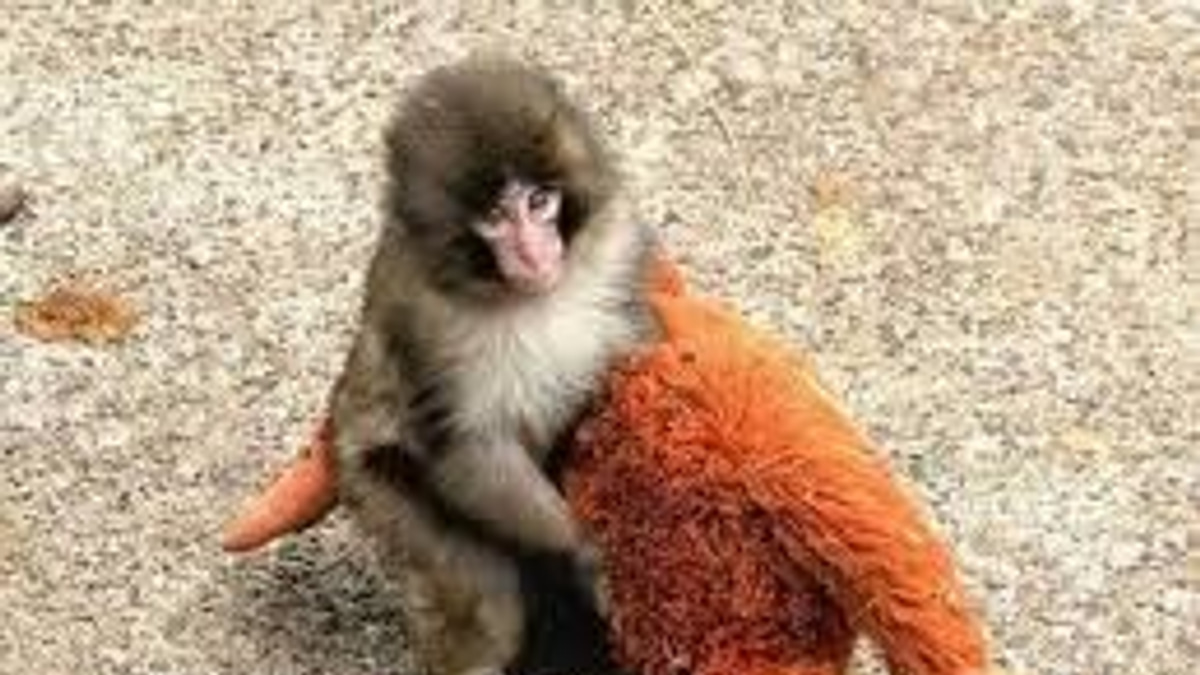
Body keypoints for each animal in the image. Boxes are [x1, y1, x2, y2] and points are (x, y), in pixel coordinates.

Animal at [328, 56, 657, 675]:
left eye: (539, 202)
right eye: (497, 219)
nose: (535, 252)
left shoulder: (618, 243)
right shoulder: (424, 320)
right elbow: (468, 448)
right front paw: (586, 552)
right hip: (374, 483)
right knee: (488, 599)